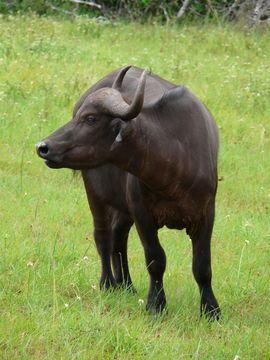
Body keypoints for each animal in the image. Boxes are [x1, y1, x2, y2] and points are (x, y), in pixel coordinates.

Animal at [36, 64, 221, 318]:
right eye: (78, 115)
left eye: (90, 118)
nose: (43, 147)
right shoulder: (143, 213)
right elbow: (155, 259)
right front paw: (156, 304)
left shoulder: (206, 213)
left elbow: (202, 265)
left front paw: (211, 309)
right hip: (94, 190)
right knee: (103, 236)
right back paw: (108, 283)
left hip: (122, 206)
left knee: (118, 236)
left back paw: (126, 284)